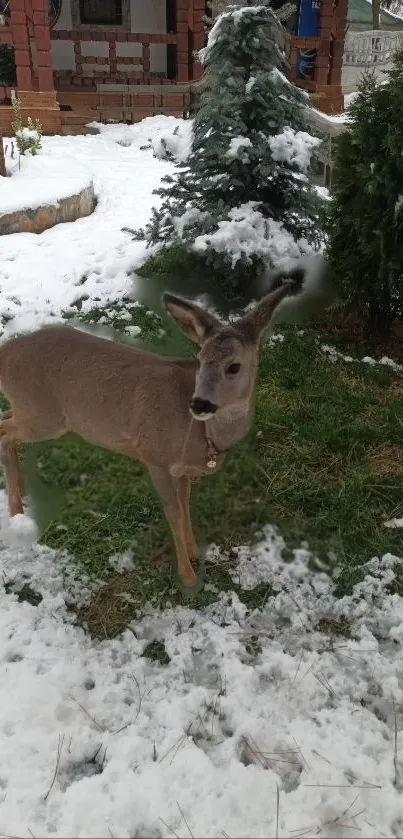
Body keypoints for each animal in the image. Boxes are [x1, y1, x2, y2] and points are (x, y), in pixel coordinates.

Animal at [0, 270, 310, 592]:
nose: (199, 403)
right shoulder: (154, 455)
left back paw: (23, 493)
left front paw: (195, 554)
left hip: (31, 411)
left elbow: (185, 505)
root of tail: (5, 351)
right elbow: (172, 510)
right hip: (44, 416)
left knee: (5, 418)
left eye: (234, 366)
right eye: (200, 359)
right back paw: (16, 512)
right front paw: (188, 577)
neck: (201, 436)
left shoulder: (182, 470)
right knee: (4, 430)